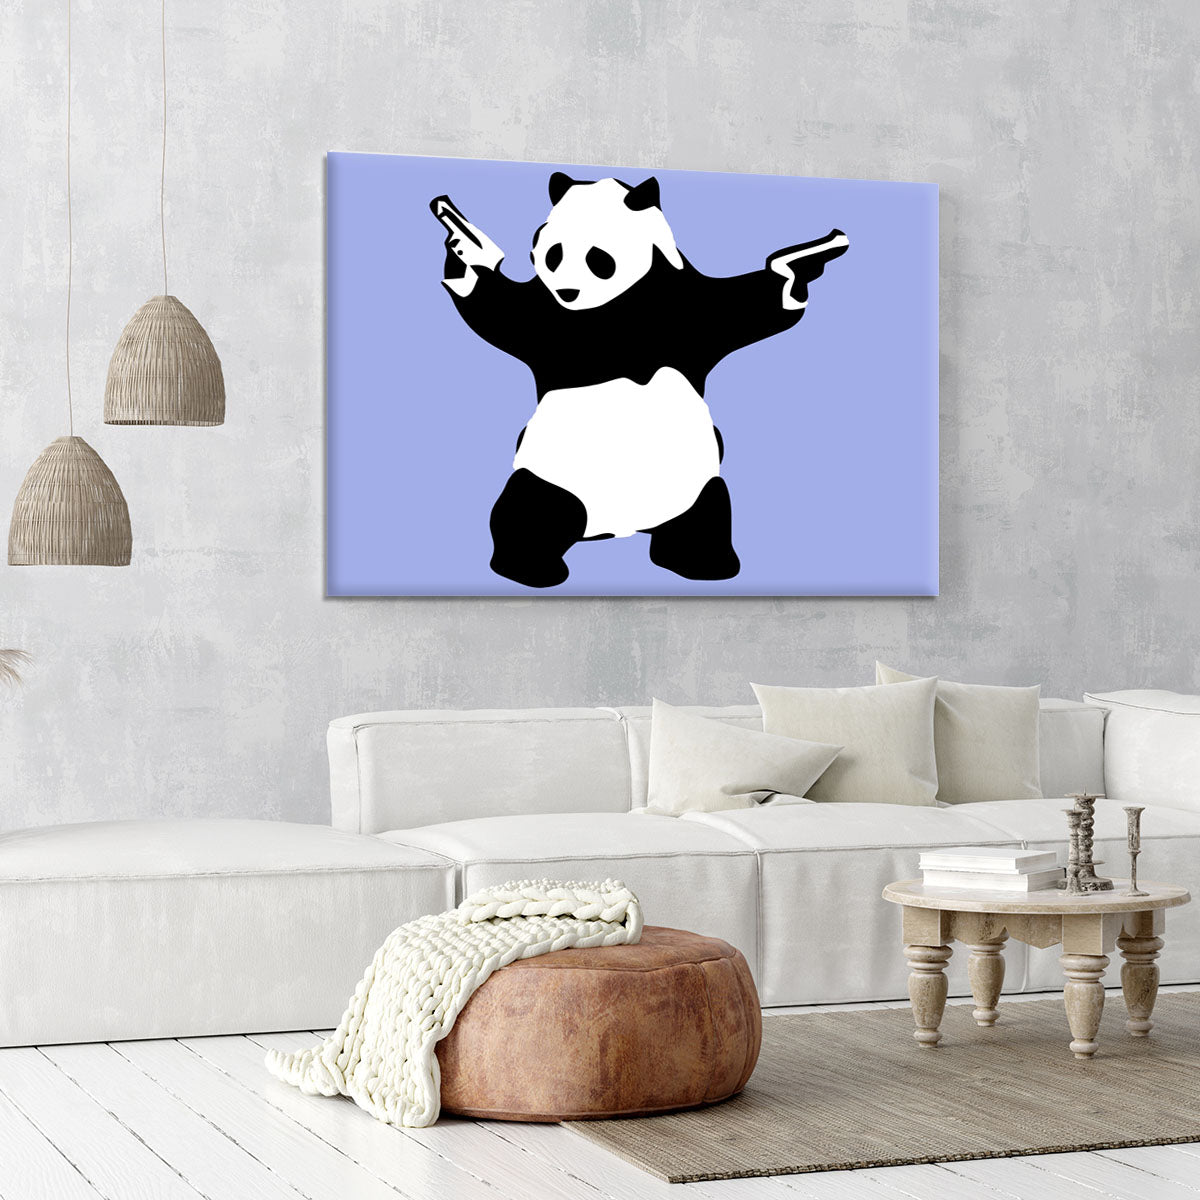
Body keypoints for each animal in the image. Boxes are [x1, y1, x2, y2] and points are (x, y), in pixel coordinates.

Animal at [431, 172, 848, 588]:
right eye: (554, 255)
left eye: (597, 257)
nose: (568, 291)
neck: (620, 304)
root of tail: (618, 529)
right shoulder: (548, 317)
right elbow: (500, 309)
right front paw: (468, 246)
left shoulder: (691, 303)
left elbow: (751, 305)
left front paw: (799, 265)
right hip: (552, 476)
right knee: (530, 511)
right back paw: (530, 568)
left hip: (694, 486)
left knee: (707, 516)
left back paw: (704, 563)